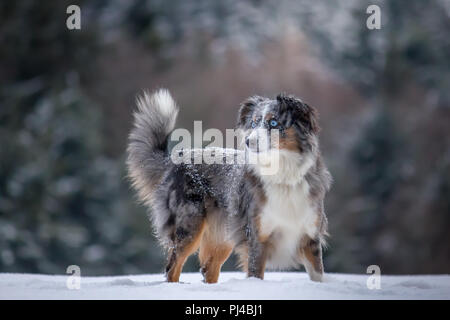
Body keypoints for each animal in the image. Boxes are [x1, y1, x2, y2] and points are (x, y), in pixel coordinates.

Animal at [126, 89, 330, 282]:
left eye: (273, 123)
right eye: (254, 123)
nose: (248, 141)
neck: (283, 174)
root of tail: (175, 159)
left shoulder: (310, 238)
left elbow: (318, 275)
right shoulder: (257, 238)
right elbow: (256, 274)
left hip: (223, 235)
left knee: (208, 270)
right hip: (189, 226)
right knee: (172, 268)